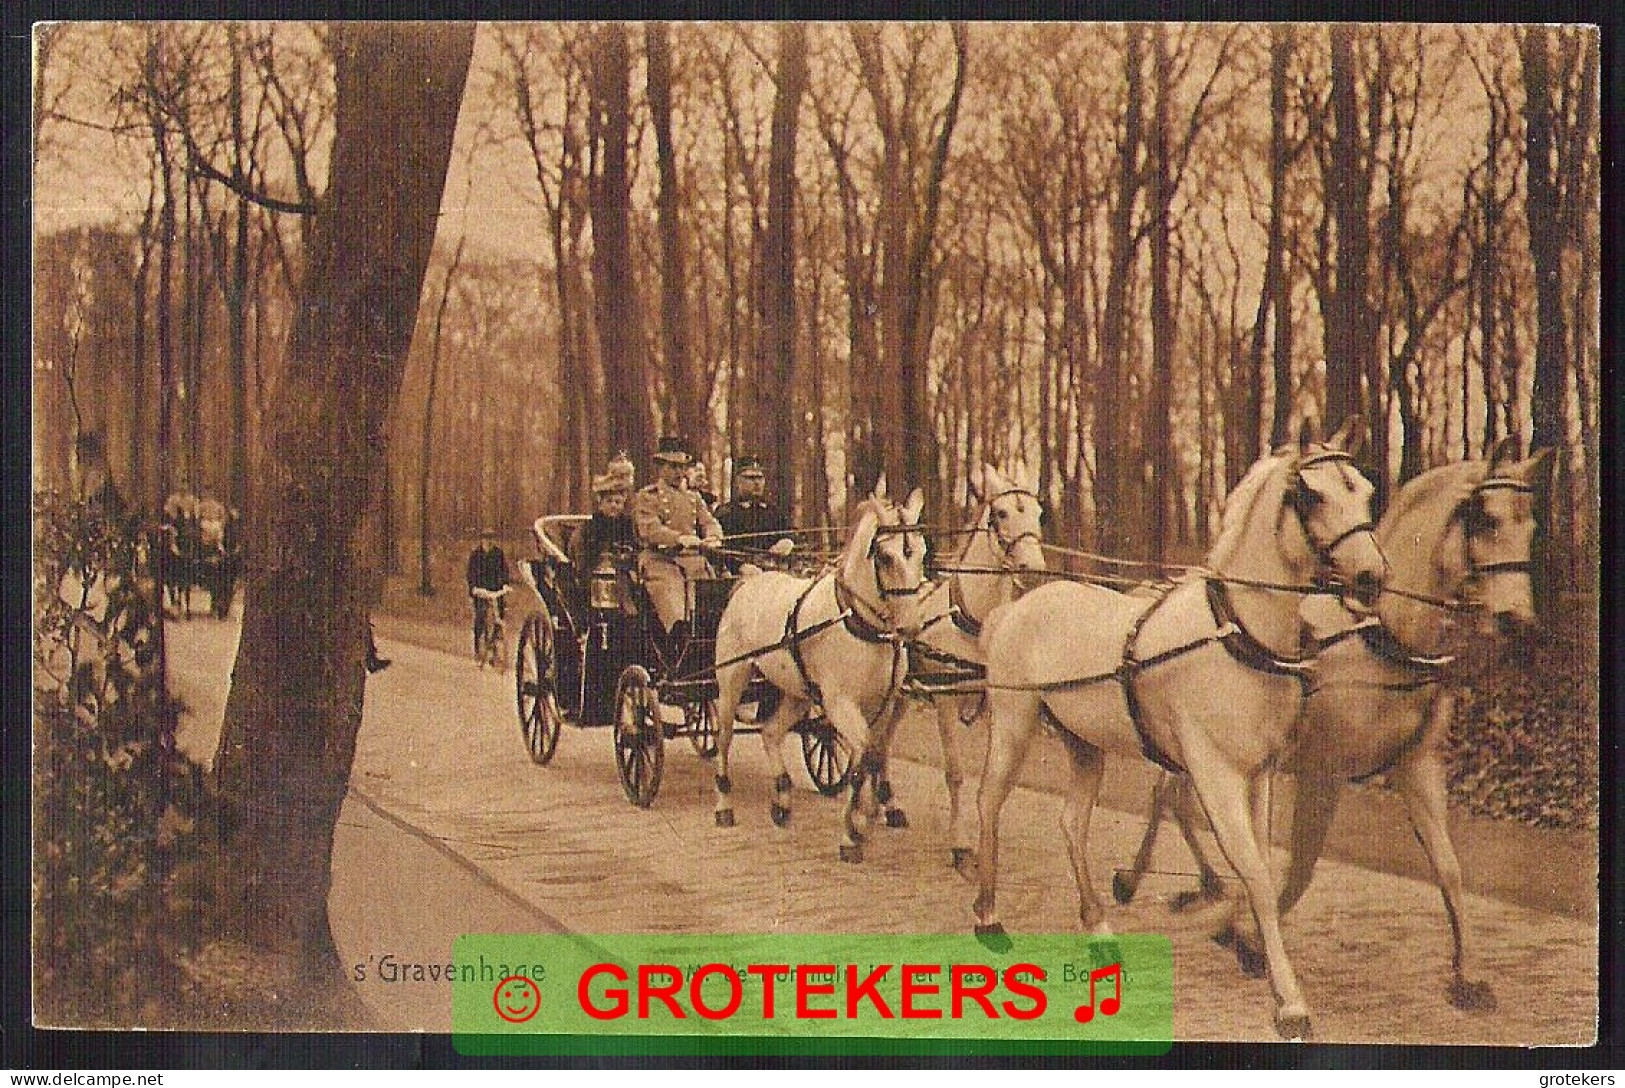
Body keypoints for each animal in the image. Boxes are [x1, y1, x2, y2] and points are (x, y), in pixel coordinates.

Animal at [715, 477, 942, 863]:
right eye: (885, 556)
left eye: (921, 552)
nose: (911, 626)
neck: (859, 623)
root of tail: (750, 577)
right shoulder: (839, 704)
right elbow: (864, 755)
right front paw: (854, 829)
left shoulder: (883, 704)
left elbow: (872, 755)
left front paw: (864, 820)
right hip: (732, 681)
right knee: (723, 737)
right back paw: (724, 806)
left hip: (796, 691)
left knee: (771, 732)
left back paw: (782, 802)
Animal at [871, 464, 1046, 876]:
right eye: (1002, 513)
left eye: (1039, 512)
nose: (1034, 570)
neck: (975, 624)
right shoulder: (946, 702)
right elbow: (954, 773)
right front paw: (961, 846)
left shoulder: (994, 704)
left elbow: (991, 781)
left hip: (902, 695)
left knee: (884, 742)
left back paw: (889, 806)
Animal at [975, 418, 1384, 1039]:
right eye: (1310, 496)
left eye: (1364, 489)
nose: (1371, 577)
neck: (1235, 632)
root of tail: (1020, 604)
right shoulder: (1215, 773)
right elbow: (1253, 872)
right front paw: (1289, 1002)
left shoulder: (1258, 774)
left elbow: (1262, 869)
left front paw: (1246, 946)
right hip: (1014, 723)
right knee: (990, 801)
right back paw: (989, 918)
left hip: (1084, 743)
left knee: (1072, 825)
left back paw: (1099, 933)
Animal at [1118, 435, 1547, 1013]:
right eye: (1487, 518)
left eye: (1531, 524)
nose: (1518, 623)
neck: (1381, 637)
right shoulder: (1322, 772)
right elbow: (1298, 868)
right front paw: (1245, 936)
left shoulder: (1417, 766)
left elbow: (1448, 867)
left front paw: (1465, 975)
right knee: (1169, 796)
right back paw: (1158, 882)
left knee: (1171, 797)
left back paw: (1193, 883)